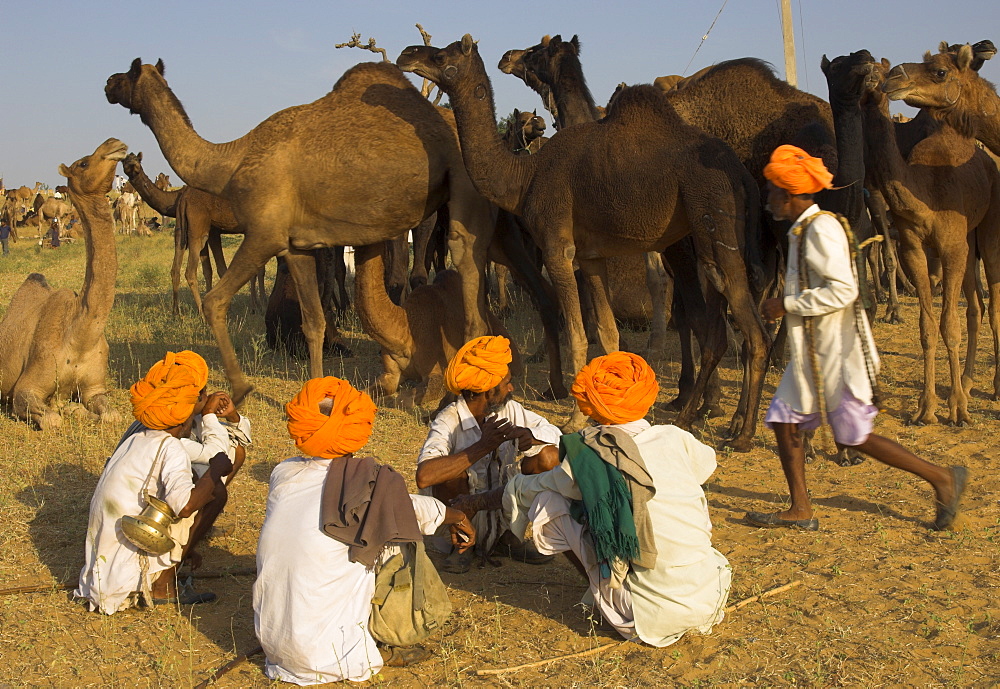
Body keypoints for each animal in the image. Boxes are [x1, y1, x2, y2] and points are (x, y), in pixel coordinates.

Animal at [107, 60, 494, 404]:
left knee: (465, 259)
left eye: (129, 71)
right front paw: (316, 394)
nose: (108, 84)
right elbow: (314, 322)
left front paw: (241, 389)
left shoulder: (265, 234)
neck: (232, 162)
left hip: (463, 180)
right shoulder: (296, 246)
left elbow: (215, 301)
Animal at [394, 36, 768, 446]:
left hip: (713, 224)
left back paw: (739, 433)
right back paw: (708, 417)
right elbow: (607, 334)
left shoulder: (558, 247)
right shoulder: (591, 257)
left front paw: (575, 418)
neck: (525, 176)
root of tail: (739, 173)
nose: (406, 54)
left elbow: (576, 333)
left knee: (749, 330)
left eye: (441, 56)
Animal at [860, 48, 1000, 424]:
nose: (886, 78)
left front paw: (959, 410)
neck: (925, 192)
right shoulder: (915, 247)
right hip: (969, 241)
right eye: (860, 72)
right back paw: (966, 381)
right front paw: (927, 407)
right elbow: (927, 327)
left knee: (993, 303)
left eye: (939, 71)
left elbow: (949, 325)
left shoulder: (951, 247)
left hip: (989, 231)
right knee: (976, 307)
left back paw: (991, 387)